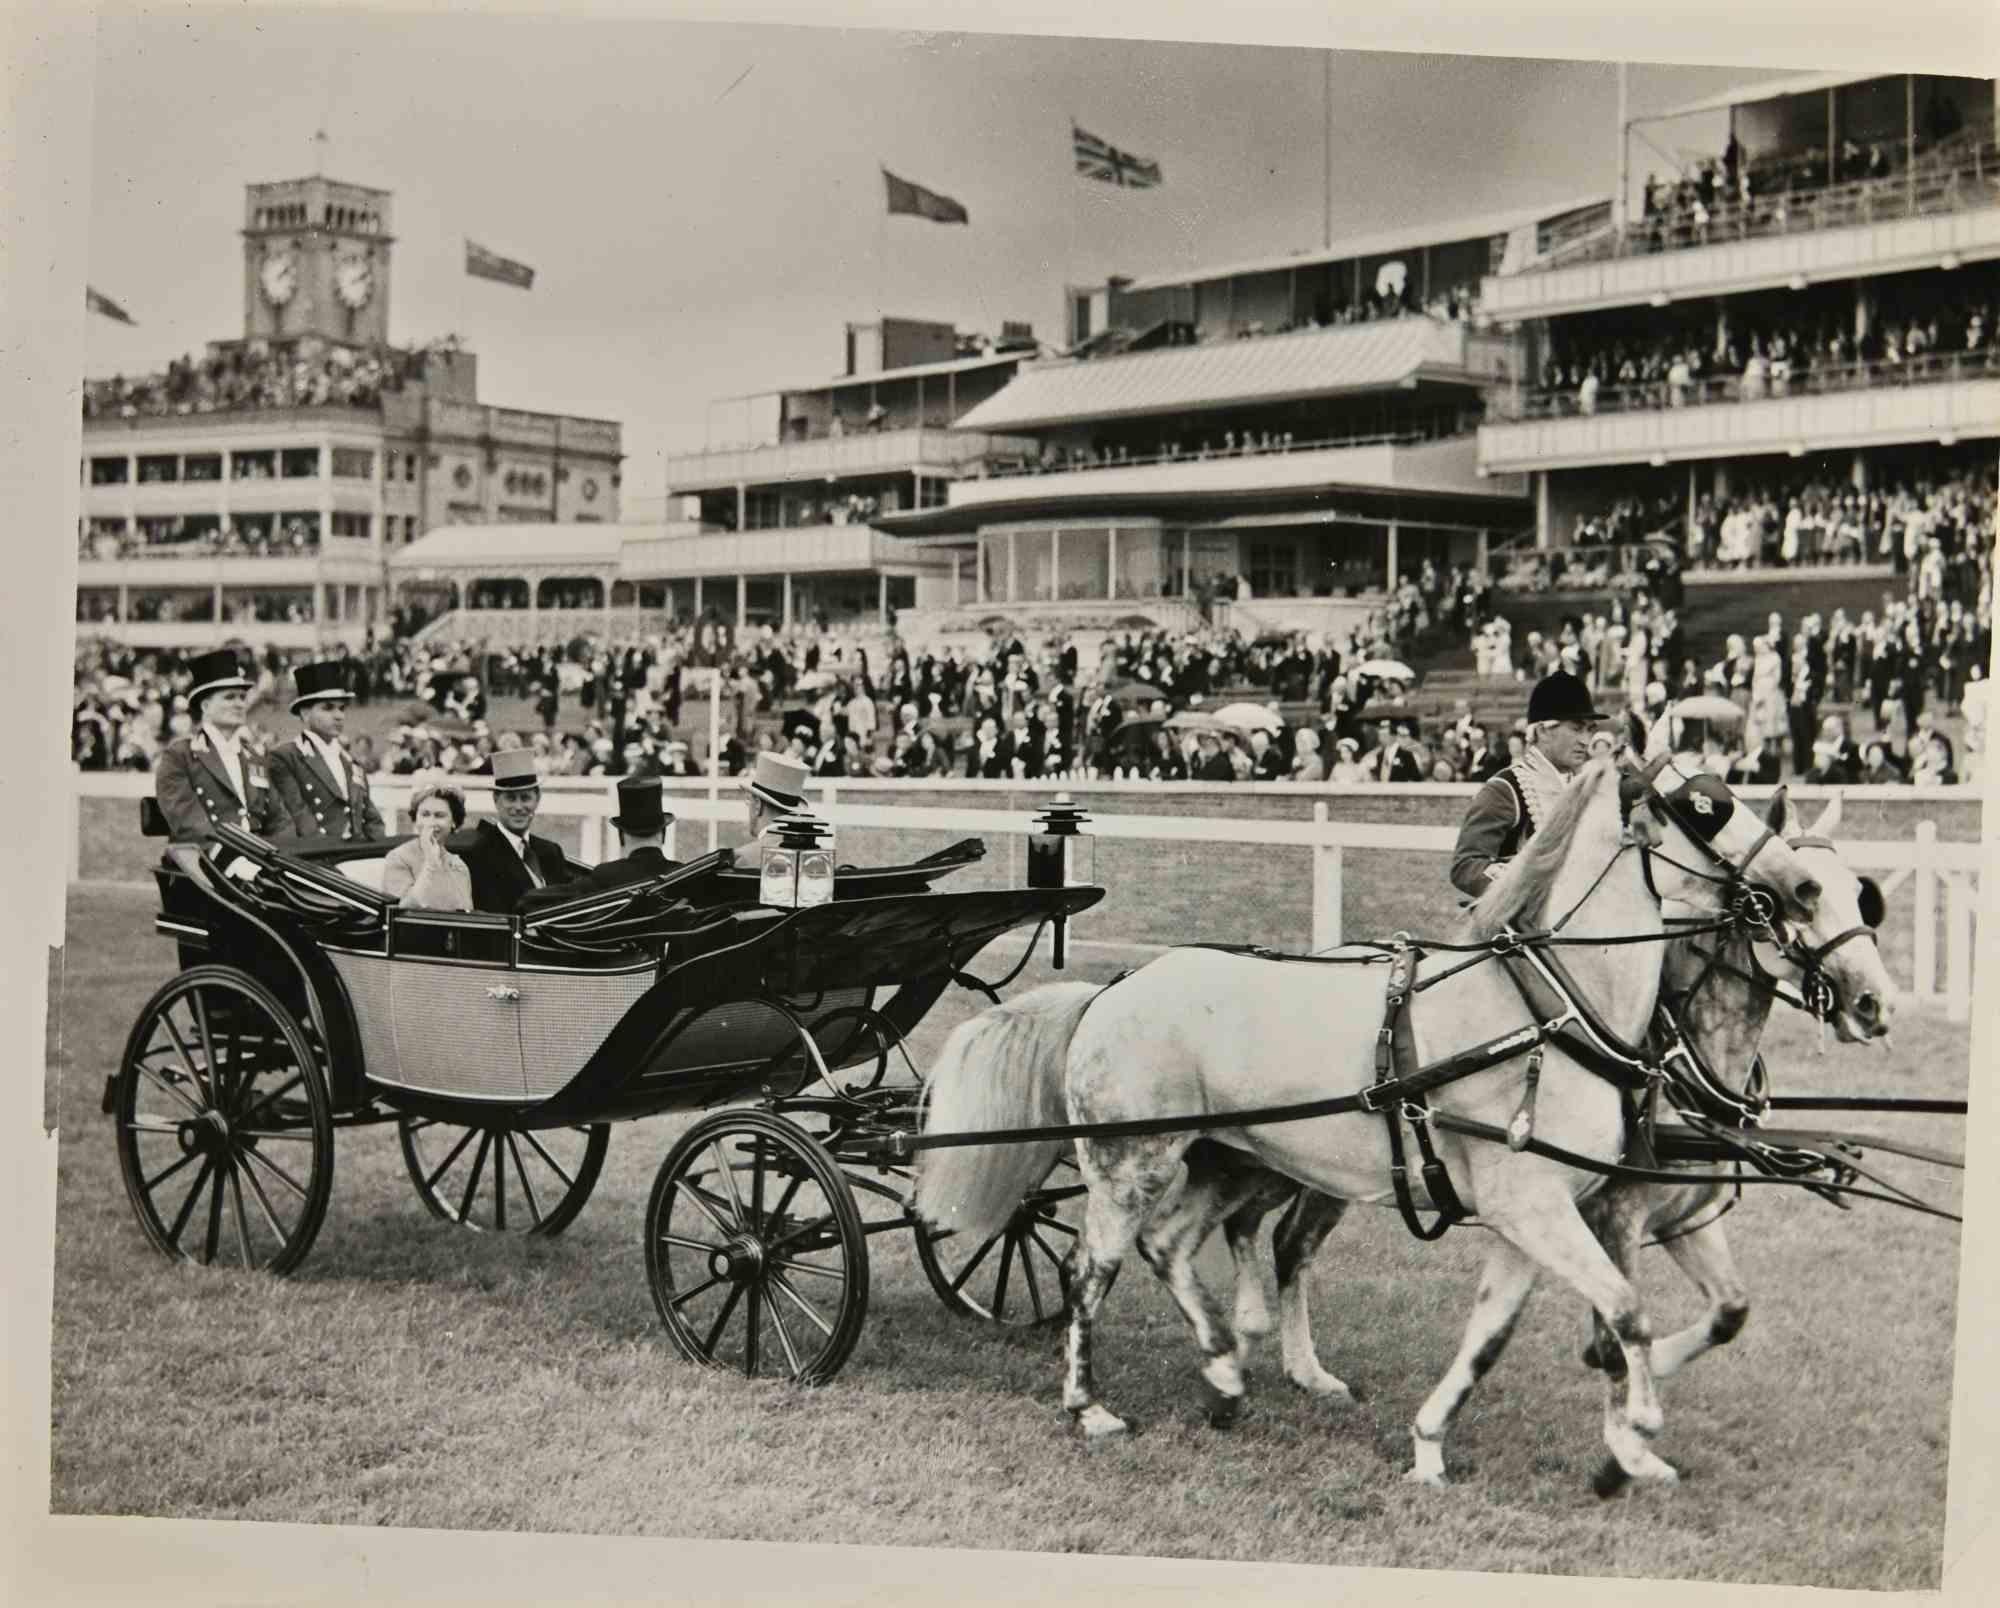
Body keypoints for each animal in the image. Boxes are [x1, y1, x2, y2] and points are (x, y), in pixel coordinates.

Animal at [916, 752, 1832, 1480]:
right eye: (1705, 809)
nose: (1806, 885)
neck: (1547, 1009)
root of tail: (1109, 991)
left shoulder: (1535, 1217)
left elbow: (1498, 1332)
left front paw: (1435, 1445)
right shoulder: (1537, 1210)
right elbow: (1626, 1309)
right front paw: (1637, 1426)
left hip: (1229, 1159)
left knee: (1171, 1248)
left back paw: (1226, 1372)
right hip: (1127, 1165)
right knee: (1089, 1270)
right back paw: (1090, 1405)